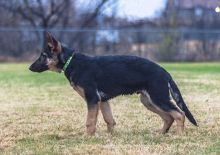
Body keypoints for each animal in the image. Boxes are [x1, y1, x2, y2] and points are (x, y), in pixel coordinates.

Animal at [29, 32, 198, 135]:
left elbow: (90, 122)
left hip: (158, 98)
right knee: (169, 117)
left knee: (179, 114)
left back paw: (178, 136)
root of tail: (165, 72)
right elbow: (109, 120)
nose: (29, 68)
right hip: (148, 101)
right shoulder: (103, 101)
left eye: (43, 55)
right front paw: (110, 136)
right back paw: (160, 134)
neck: (71, 62)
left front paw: (86, 137)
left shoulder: (93, 99)